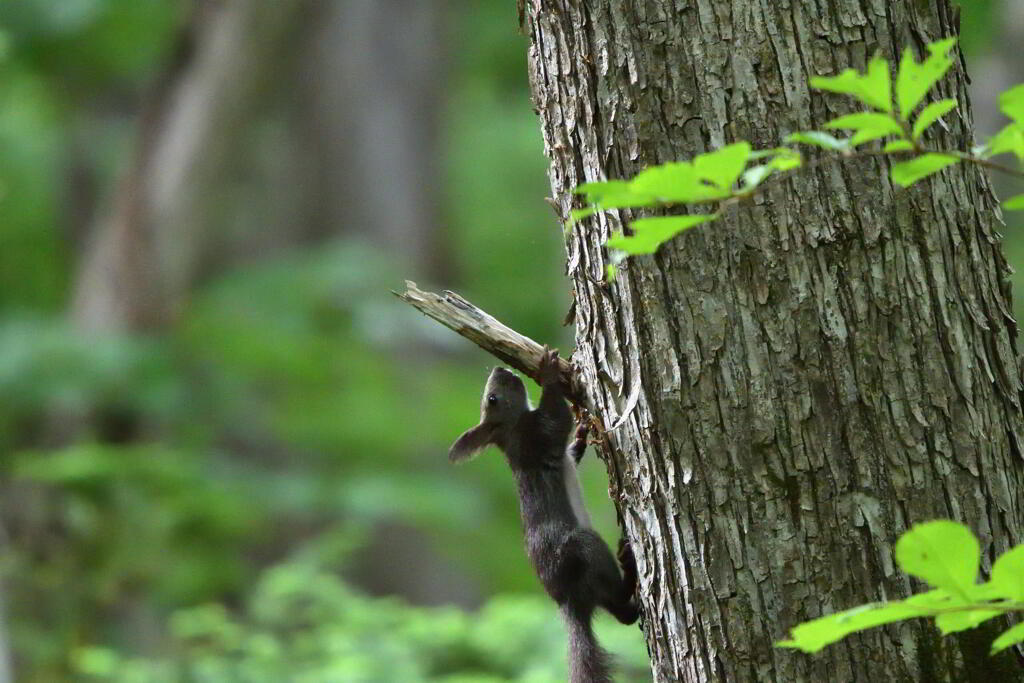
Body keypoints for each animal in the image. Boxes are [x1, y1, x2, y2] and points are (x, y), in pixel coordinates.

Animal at [450, 348, 634, 683]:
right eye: (492, 399)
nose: (500, 369)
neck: (512, 429)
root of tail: (569, 601)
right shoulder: (536, 436)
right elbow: (557, 418)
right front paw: (548, 372)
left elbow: (570, 448)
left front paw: (583, 432)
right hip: (581, 548)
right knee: (619, 603)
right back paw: (629, 569)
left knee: (620, 613)